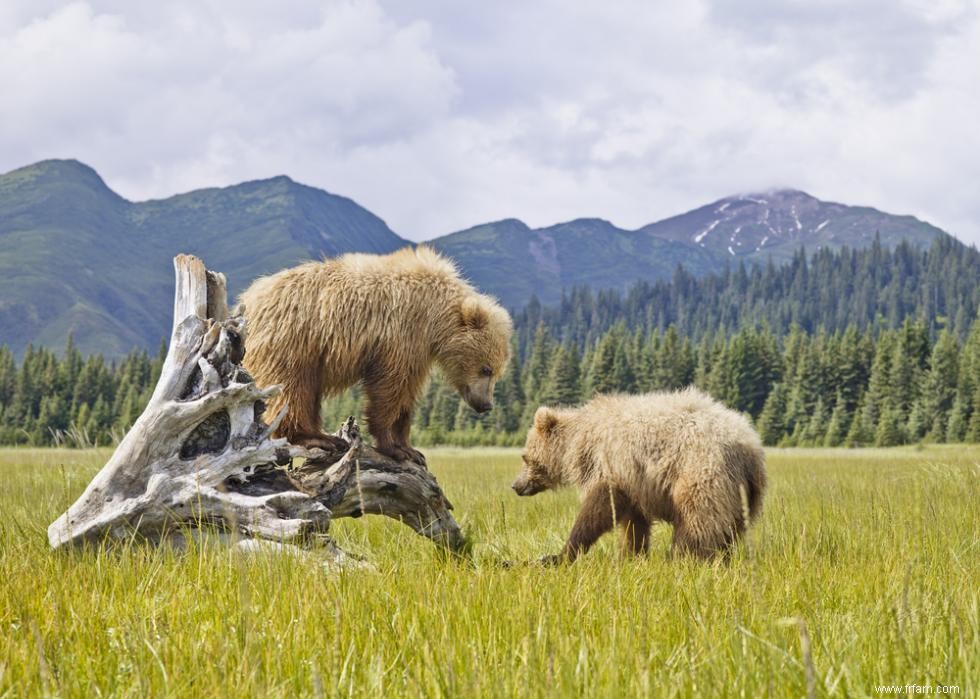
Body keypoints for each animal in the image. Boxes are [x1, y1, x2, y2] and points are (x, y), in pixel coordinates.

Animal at [238, 246, 512, 464]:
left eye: (497, 372)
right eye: (485, 369)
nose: (486, 405)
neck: (434, 319)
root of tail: (246, 298)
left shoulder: (418, 351)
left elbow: (407, 394)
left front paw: (411, 449)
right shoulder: (399, 335)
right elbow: (388, 388)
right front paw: (392, 446)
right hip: (292, 339)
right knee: (291, 390)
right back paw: (315, 439)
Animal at [512, 388, 764, 564]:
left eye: (525, 456)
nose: (515, 485)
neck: (577, 443)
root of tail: (749, 448)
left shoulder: (609, 463)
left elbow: (599, 507)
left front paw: (562, 553)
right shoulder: (634, 481)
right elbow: (634, 522)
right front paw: (632, 555)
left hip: (701, 471)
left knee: (697, 520)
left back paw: (681, 557)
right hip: (744, 494)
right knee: (728, 529)